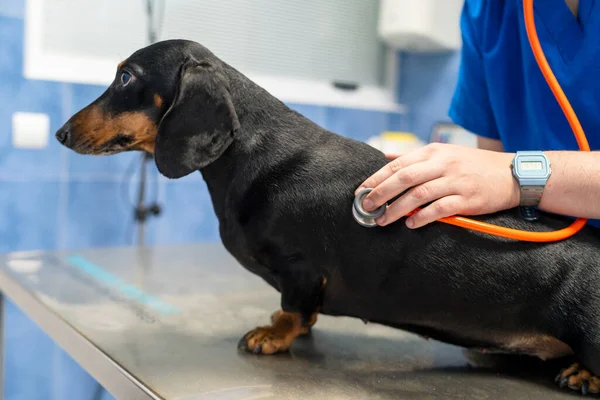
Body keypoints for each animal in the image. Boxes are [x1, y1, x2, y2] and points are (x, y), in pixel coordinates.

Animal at [56, 39, 600, 396]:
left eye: (126, 76)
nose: (61, 134)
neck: (252, 154)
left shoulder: (300, 268)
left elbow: (294, 308)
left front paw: (274, 334)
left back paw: (585, 373)